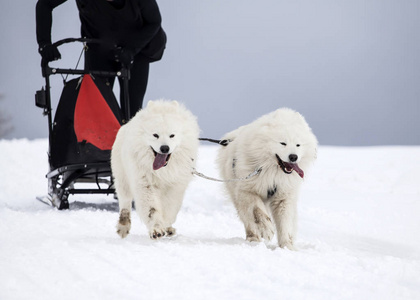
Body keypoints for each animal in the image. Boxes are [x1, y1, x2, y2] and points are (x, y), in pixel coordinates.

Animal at [110, 99, 199, 240]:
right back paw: (123, 227)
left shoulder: (175, 185)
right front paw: (157, 230)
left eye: (172, 135)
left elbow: (170, 208)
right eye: (155, 135)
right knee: (125, 201)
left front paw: (166, 226)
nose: (164, 148)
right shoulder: (144, 182)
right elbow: (152, 209)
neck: (162, 171)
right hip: (122, 177)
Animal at [218, 108, 316, 248]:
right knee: (248, 219)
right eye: (283, 143)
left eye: (298, 145)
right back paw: (253, 239)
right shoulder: (247, 190)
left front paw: (287, 246)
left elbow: (285, 223)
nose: (293, 157)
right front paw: (267, 230)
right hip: (236, 194)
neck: (273, 173)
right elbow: (258, 210)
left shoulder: (284, 196)